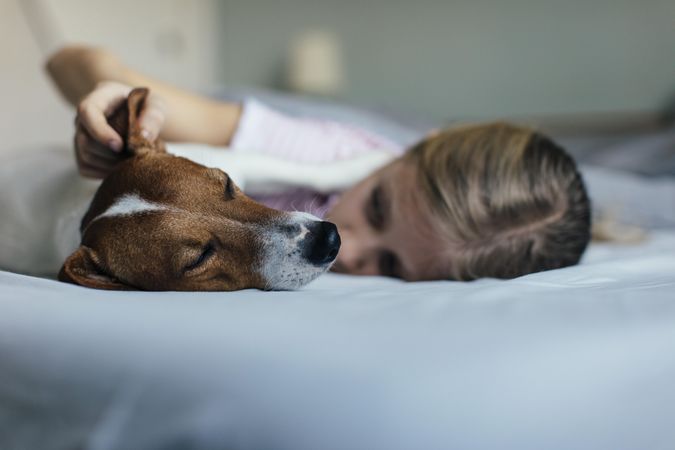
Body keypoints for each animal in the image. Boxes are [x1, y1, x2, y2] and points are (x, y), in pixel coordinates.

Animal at [0, 88, 348, 292]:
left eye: (226, 182)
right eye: (198, 259)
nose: (329, 239)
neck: (82, 211)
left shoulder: (239, 160)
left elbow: (315, 173)